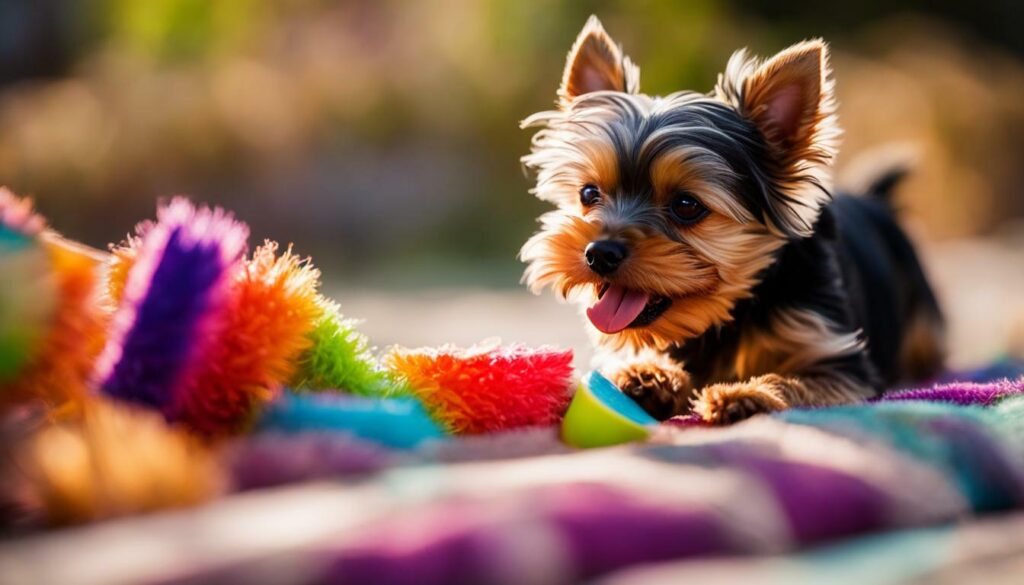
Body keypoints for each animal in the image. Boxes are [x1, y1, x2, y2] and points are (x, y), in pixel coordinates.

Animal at [520, 16, 942, 424]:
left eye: (686, 205)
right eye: (588, 194)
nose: (599, 253)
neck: (726, 317)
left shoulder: (840, 363)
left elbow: (797, 380)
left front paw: (744, 394)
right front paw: (647, 374)